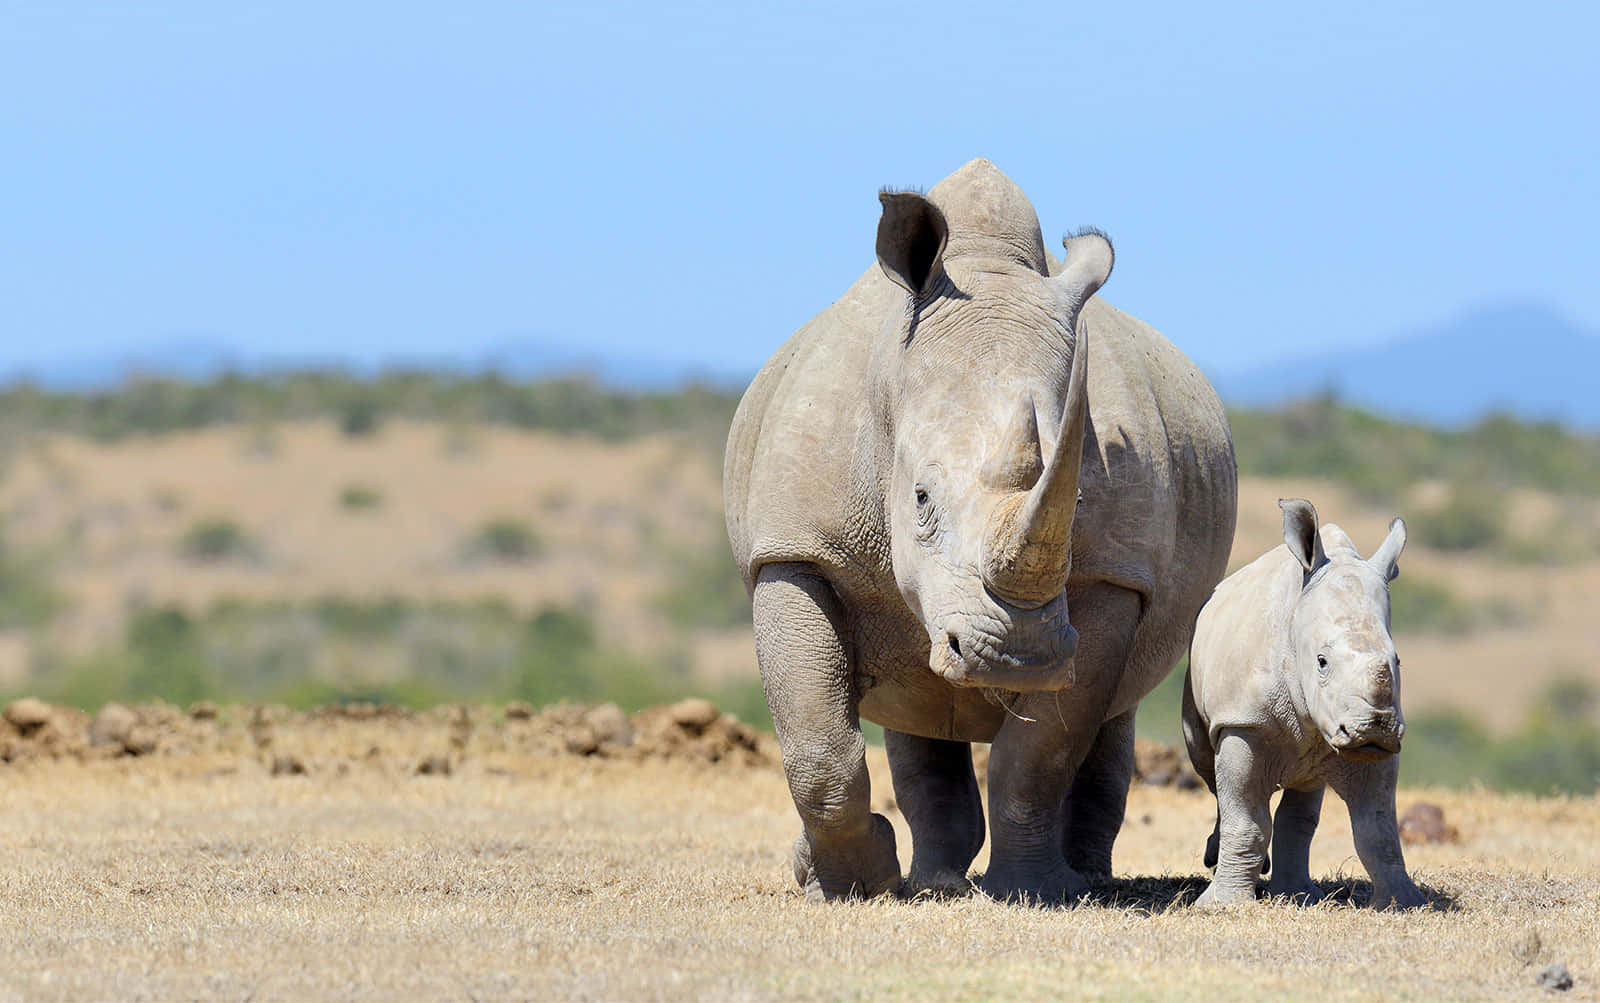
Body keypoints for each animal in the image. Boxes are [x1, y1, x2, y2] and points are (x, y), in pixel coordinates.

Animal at [723, 159, 1237, 902]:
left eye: (1079, 498)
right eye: (920, 499)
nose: (1014, 655)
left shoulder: (1112, 576)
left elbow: (1040, 752)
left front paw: (1039, 891)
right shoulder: (796, 549)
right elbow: (818, 747)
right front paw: (846, 882)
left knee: (1111, 711)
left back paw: (1081, 876)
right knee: (915, 701)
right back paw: (930, 878)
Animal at [1183, 498, 1425, 909]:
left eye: (1397, 662)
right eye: (1322, 661)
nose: (1374, 726)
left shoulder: (1375, 748)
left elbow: (1378, 830)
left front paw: (1405, 903)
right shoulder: (1243, 721)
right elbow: (1245, 818)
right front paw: (1223, 906)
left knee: (1304, 793)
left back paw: (1298, 894)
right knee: (1209, 768)